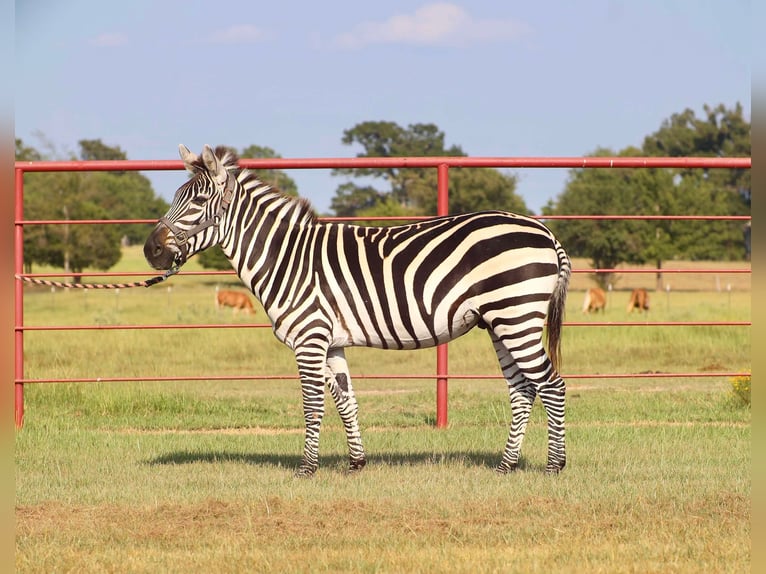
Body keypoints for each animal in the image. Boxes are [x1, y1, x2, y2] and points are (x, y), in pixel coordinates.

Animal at [147, 146, 572, 480]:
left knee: (551, 384)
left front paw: (306, 469)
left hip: (515, 316)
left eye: (197, 203)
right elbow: (345, 400)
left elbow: (313, 405)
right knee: (522, 389)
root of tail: (544, 231)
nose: (151, 251)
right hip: (499, 322)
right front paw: (356, 462)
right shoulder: (331, 343)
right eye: (175, 197)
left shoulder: (309, 339)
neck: (286, 259)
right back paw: (506, 465)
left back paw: (554, 466)